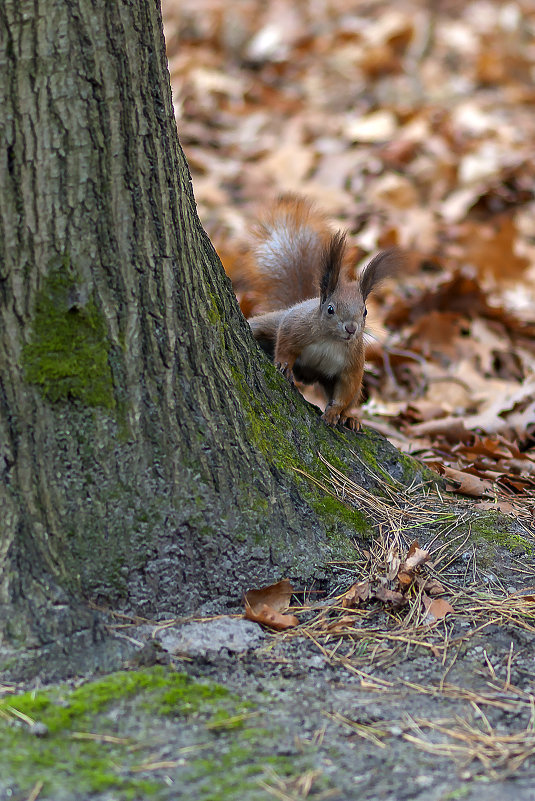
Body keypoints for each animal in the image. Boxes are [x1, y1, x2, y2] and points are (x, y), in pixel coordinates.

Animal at [247, 195, 398, 432]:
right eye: (330, 309)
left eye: (365, 311)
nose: (351, 328)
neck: (331, 340)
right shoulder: (295, 325)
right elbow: (285, 344)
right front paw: (283, 364)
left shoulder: (353, 363)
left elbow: (346, 390)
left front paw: (334, 413)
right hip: (272, 322)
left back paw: (350, 419)